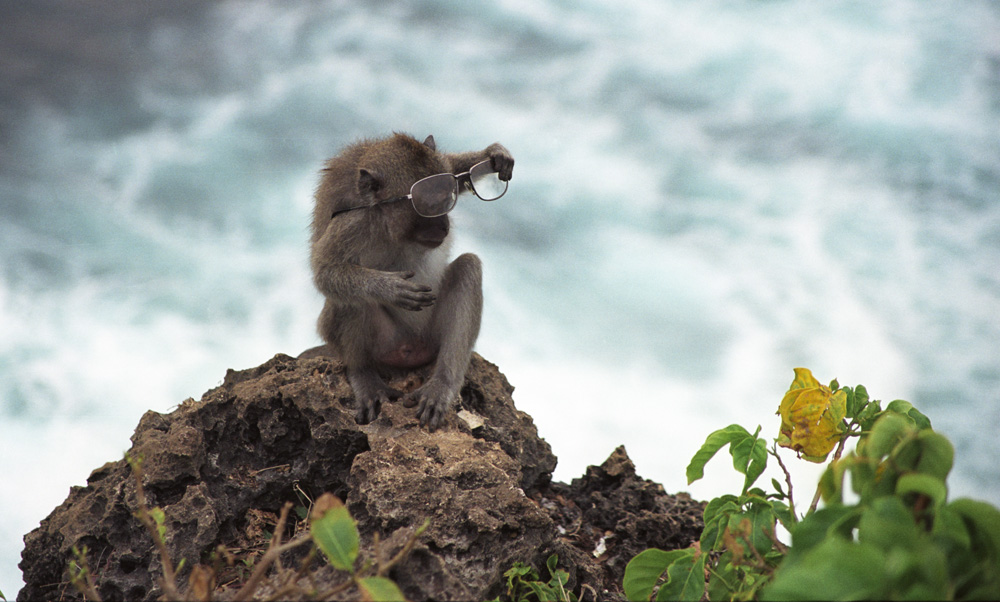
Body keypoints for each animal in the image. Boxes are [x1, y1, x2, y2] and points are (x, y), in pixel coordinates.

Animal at [306, 134, 512, 428]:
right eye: (428, 206)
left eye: (446, 199)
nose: (444, 226)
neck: (389, 227)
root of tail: (410, 352)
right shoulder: (351, 224)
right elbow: (325, 271)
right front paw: (390, 288)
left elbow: (455, 168)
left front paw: (494, 156)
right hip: (383, 342)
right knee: (350, 298)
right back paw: (363, 374)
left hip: (430, 337)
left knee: (468, 268)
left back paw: (442, 383)